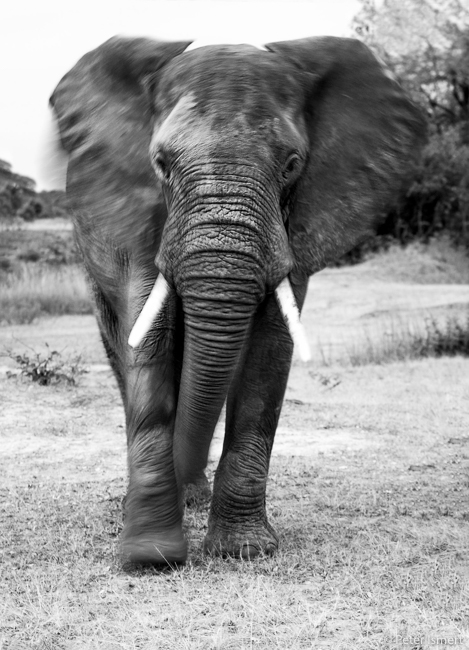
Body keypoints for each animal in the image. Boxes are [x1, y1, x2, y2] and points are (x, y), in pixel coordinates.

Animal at [50, 35, 426, 566]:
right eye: (160, 164)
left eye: (291, 165)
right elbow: (149, 342)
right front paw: (150, 558)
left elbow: (269, 349)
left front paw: (242, 550)